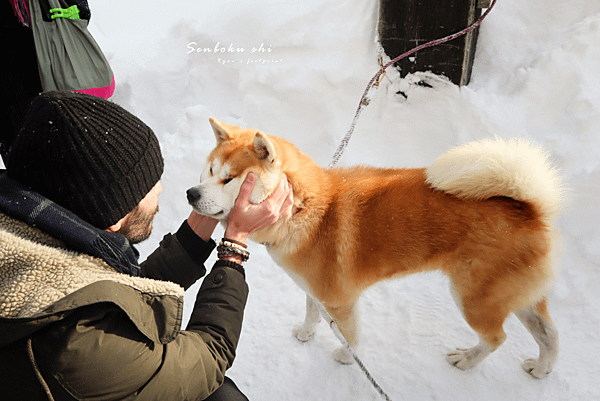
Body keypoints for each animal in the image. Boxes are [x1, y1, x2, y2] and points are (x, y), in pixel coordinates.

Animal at [186, 117, 564, 376]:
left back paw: (467, 360)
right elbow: (311, 312)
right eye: (209, 170)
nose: (191, 193)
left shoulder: (341, 300)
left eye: (229, 179)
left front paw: (345, 356)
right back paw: (542, 368)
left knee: (497, 338)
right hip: (512, 295)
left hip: (474, 298)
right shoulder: (314, 290)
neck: (304, 208)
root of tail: (528, 208)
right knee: (548, 333)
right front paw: (306, 333)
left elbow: (350, 336)